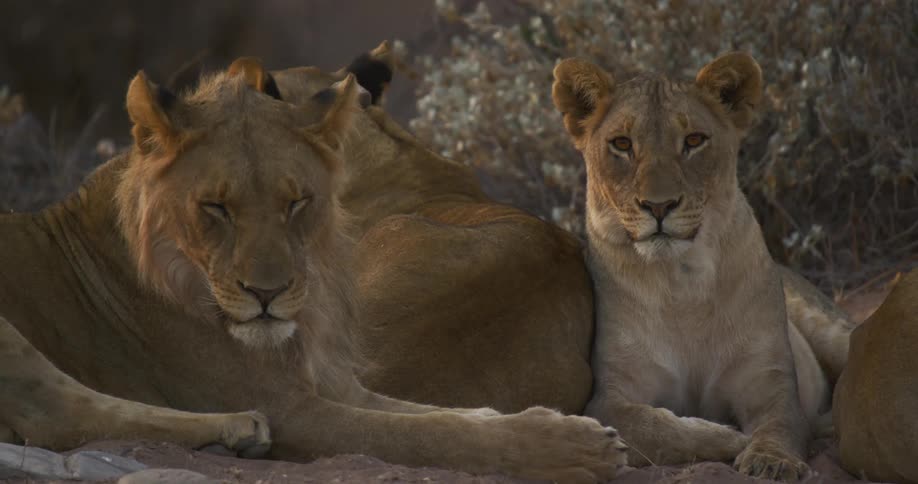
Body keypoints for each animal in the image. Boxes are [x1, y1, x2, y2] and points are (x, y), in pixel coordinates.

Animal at [0, 60, 626, 482]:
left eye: (296, 202)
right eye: (216, 207)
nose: (269, 293)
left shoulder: (336, 380)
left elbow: (442, 416)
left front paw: (530, 419)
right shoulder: (294, 411)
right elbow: (424, 435)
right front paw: (577, 449)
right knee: (53, 414)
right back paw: (239, 429)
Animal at [551, 52, 856, 480]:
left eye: (694, 141)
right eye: (622, 144)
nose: (659, 205)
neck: (682, 282)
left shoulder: (770, 384)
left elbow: (781, 422)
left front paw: (771, 460)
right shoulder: (608, 397)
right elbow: (650, 426)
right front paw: (726, 437)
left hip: (831, 330)